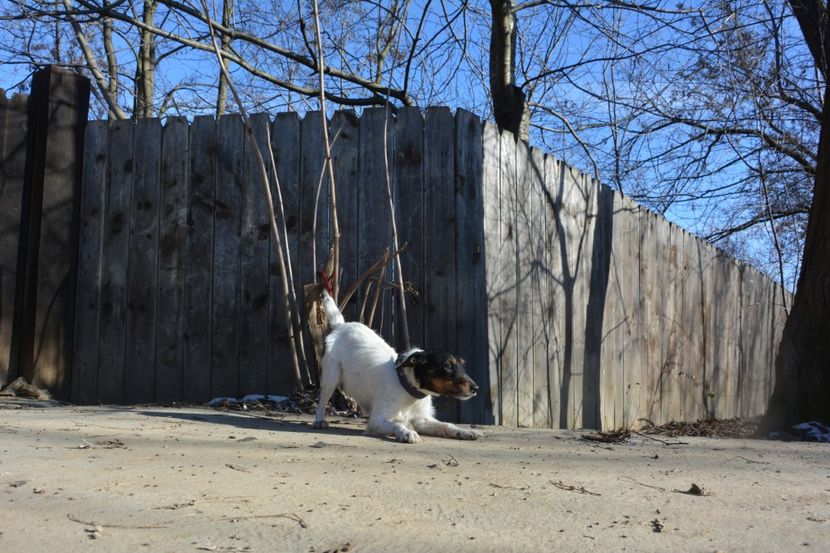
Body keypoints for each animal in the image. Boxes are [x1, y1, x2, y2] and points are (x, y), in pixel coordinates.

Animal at [312, 292, 480, 442]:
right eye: (447, 366)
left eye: (462, 365)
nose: (476, 388)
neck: (409, 391)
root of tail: (341, 325)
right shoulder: (376, 421)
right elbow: (397, 425)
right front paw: (407, 432)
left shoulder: (422, 420)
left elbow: (446, 425)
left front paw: (463, 431)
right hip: (331, 376)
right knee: (322, 400)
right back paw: (319, 420)